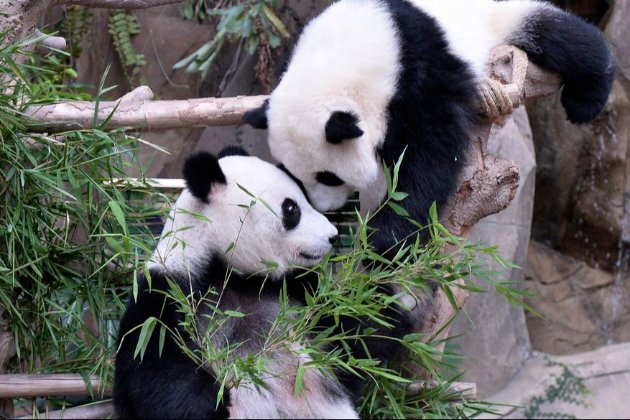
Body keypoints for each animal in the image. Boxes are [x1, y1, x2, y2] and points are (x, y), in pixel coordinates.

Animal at [113, 147, 412, 416]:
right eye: (291, 208)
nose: (332, 235)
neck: (228, 271)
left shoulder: (295, 297)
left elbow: (352, 336)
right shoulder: (170, 292)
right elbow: (156, 366)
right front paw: (212, 403)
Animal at [246, 0, 616, 256]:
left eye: (329, 177)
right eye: (292, 173)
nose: (326, 209)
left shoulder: (420, 75)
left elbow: (429, 159)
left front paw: (384, 237)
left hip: (493, 22)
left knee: (563, 36)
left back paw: (586, 99)